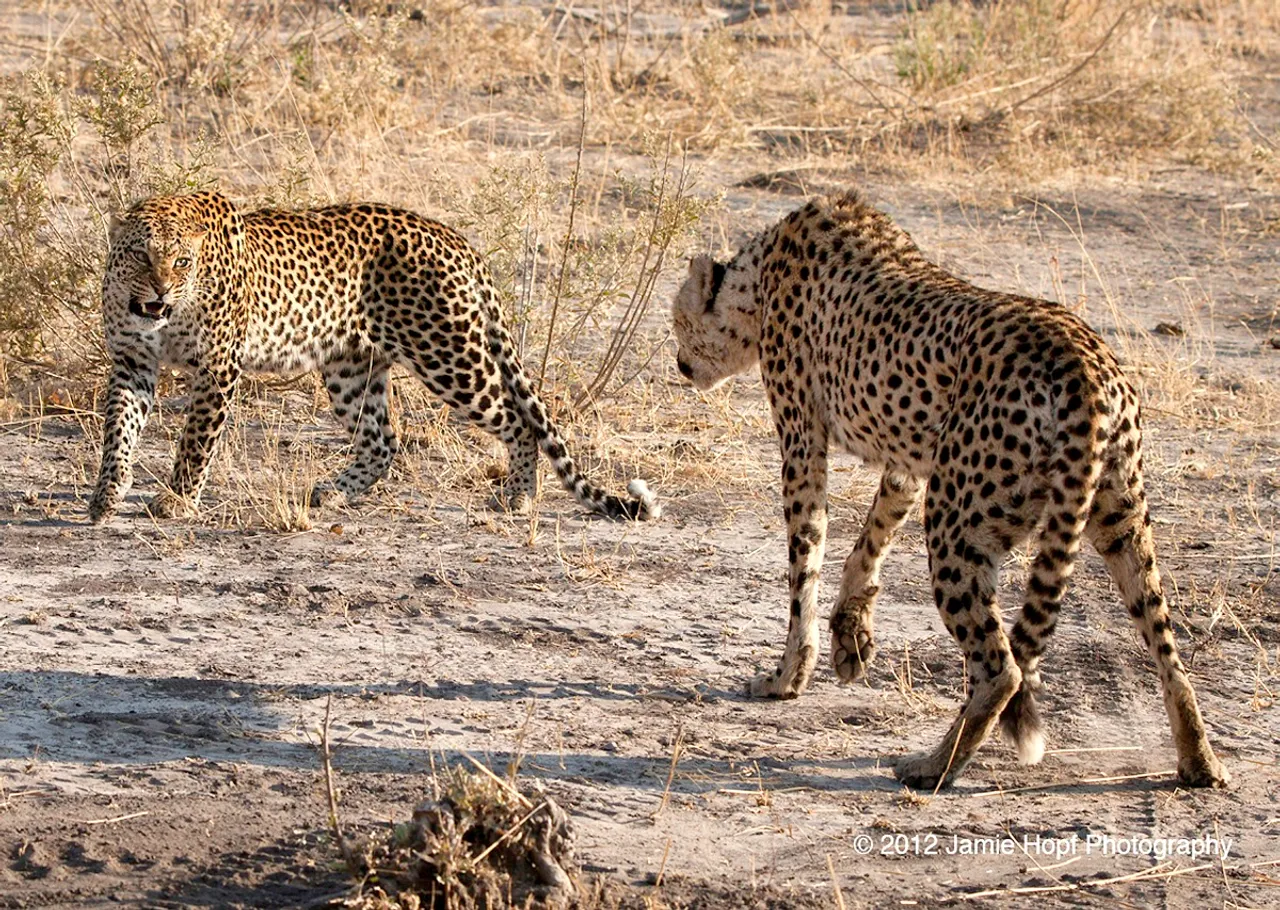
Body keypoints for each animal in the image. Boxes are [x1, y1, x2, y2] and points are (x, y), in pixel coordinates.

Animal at [87, 190, 660, 527]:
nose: (160, 290)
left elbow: (195, 442)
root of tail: (454, 238)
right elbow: (119, 430)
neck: (160, 317)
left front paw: (177, 500)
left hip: (450, 356)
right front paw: (106, 494)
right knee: (383, 440)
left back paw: (519, 496)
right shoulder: (133, 363)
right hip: (350, 368)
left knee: (518, 421)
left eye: (182, 261)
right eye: (141, 255)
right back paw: (334, 494)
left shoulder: (217, 367)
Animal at [670, 191, 1228, 788]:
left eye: (678, 321)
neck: (758, 276)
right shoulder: (911, 463)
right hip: (1116, 514)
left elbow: (807, 559)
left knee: (1002, 669)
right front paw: (852, 634)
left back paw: (933, 765)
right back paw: (1199, 759)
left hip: (958, 524)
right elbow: (870, 540)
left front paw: (787, 675)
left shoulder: (803, 440)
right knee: (1165, 645)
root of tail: (1084, 361)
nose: (679, 364)